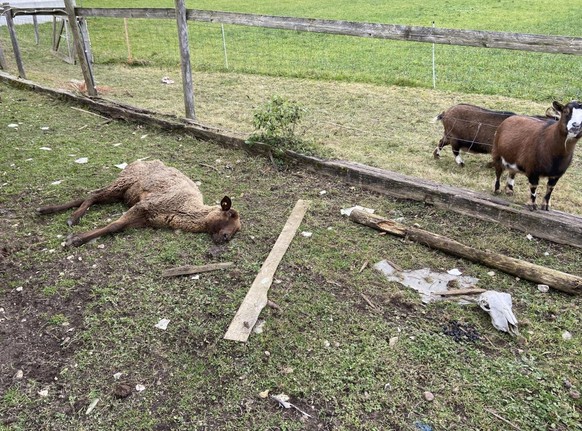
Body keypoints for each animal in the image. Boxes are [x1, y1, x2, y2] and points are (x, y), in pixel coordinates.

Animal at [37, 159, 242, 248]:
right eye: (229, 214)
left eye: (238, 229)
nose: (225, 238)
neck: (184, 209)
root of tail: (137, 161)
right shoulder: (145, 206)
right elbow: (114, 226)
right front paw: (75, 239)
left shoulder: (145, 219)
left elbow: (118, 227)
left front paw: (76, 237)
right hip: (123, 182)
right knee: (94, 194)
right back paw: (72, 218)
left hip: (123, 193)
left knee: (91, 196)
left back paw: (49, 210)